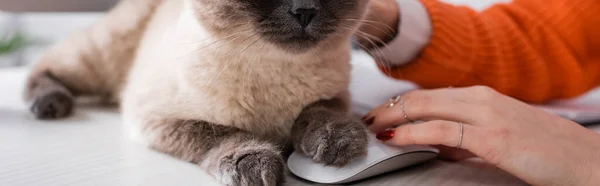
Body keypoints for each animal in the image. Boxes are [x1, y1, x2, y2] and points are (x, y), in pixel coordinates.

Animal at [24, 0, 370, 185]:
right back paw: (50, 103)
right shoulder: (157, 118)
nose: (304, 10)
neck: (275, 68)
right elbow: (221, 133)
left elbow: (320, 111)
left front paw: (337, 141)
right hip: (101, 59)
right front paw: (257, 162)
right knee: (45, 63)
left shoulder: (335, 94)